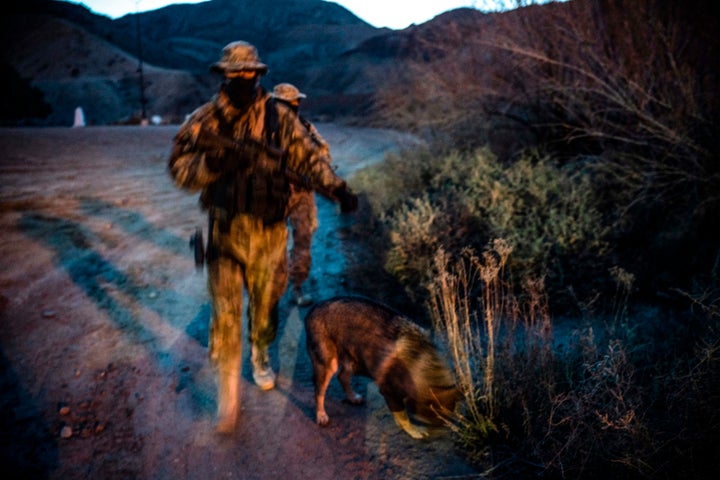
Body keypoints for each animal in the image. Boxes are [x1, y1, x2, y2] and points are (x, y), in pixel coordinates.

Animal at [302, 294, 458, 436]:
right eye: (432, 423)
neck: (424, 361)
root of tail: (312, 310)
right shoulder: (389, 391)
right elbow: (403, 418)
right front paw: (414, 431)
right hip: (328, 364)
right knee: (319, 391)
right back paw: (321, 415)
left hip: (354, 359)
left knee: (342, 377)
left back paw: (352, 397)